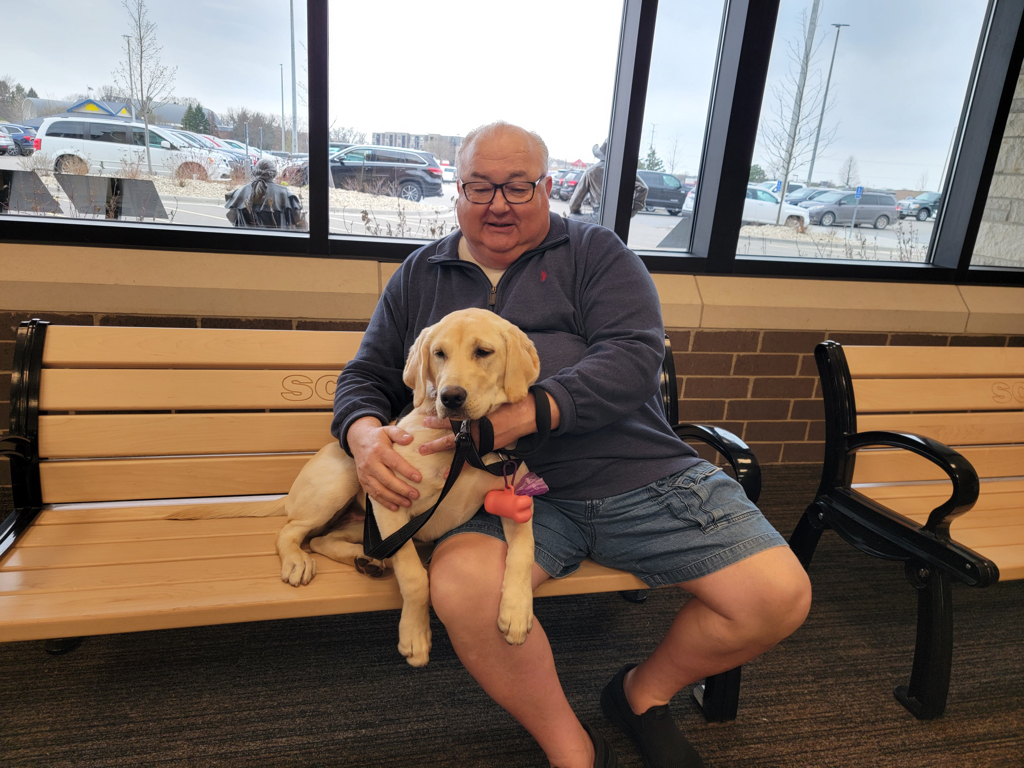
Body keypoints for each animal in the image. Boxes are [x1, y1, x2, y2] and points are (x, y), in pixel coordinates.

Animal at [174, 307, 544, 667]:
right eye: (439, 354)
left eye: (483, 352)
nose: (451, 397)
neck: (464, 441)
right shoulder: (390, 502)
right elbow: (414, 577)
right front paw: (415, 635)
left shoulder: (518, 502)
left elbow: (523, 552)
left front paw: (516, 611)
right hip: (345, 483)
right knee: (291, 531)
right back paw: (301, 561)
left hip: (361, 524)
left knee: (323, 540)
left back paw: (368, 560)